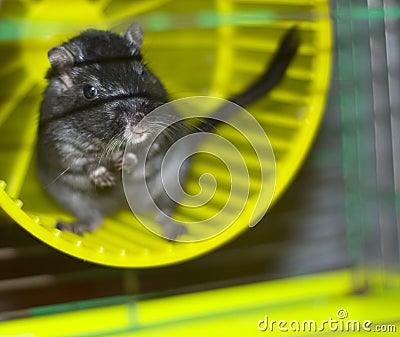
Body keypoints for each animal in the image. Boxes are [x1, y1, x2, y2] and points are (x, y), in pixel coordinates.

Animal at [37, 23, 300, 239]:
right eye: (89, 91)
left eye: (143, 74)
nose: (140, 123)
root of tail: (124, 208)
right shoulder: (62, 146)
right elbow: (84, 163)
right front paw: (105, 176)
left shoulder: (161, 137)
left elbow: (146, 154)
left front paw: (126, 162)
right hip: (69, 198)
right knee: (94, 218)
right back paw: (72, 226)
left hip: (172, 181)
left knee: (162, 211)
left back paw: (174, 230)